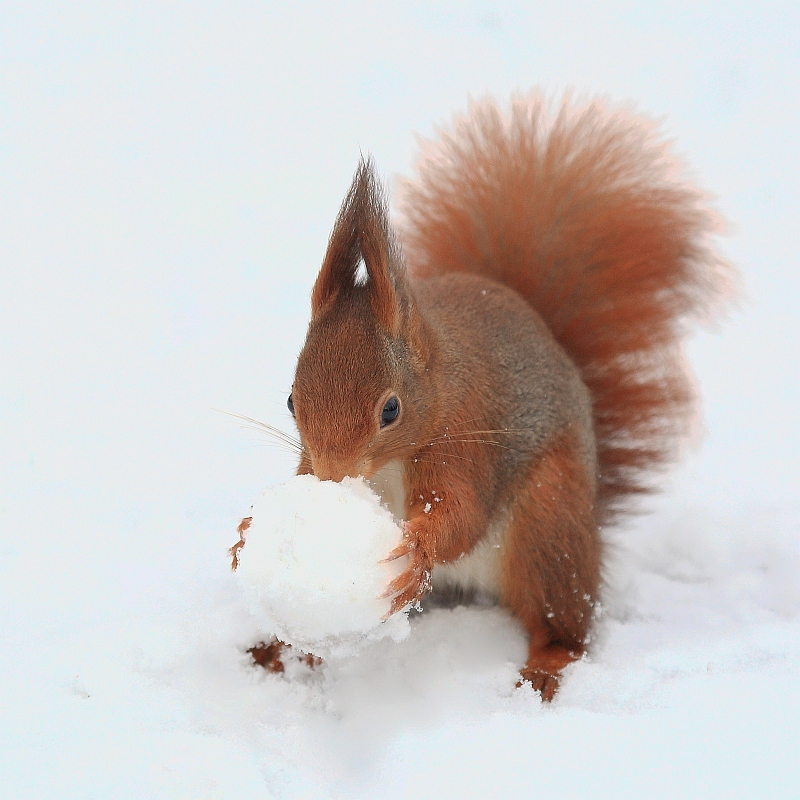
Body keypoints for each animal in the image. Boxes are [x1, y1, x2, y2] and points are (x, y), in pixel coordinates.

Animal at [231, 94, 732, 700]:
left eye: (391, 410)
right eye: (290, 401)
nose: (334, 477)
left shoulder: (465, 442)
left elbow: (461, 516)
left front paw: (418, 548)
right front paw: (246, 534)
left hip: (548, 522)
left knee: (562, 619)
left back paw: (546, 666)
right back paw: (274, 652)